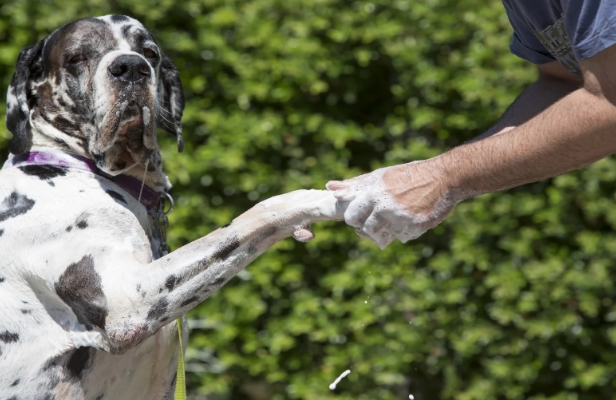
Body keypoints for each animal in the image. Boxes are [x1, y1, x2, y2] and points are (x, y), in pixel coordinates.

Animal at [0, 14, 342, 398]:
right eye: (76, 57)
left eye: (150, 53)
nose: (131, 67)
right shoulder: (127, 302)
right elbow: (257, 214)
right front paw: (319, 198)